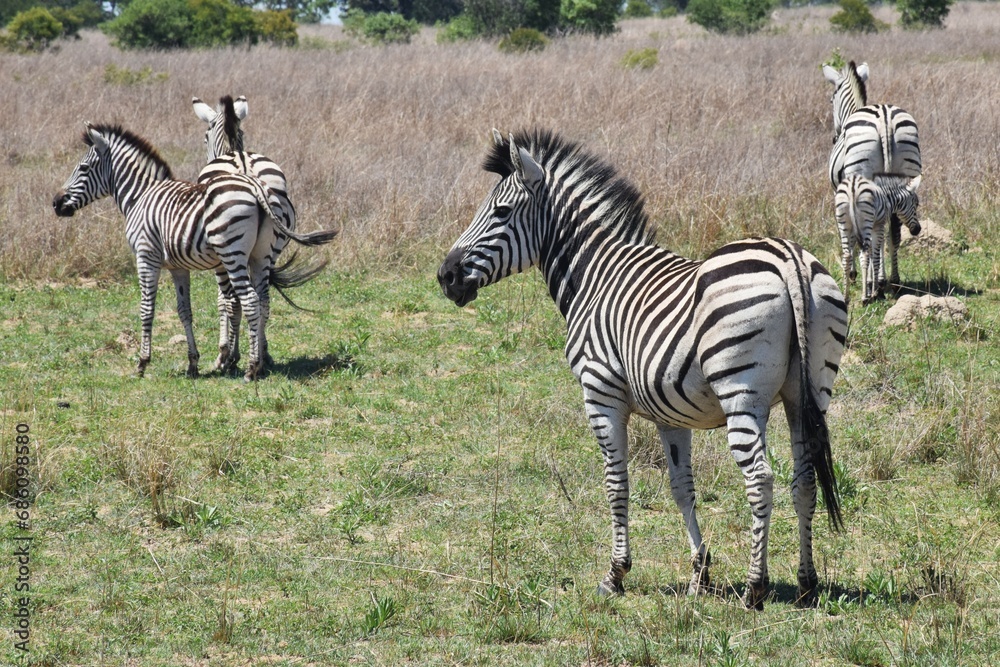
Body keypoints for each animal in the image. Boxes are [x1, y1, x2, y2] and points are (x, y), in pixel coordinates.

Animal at [52, 122, 336, 380]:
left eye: (83, 168)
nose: (56, 203)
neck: (140, 196)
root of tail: (253, 183)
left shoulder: (146, 257)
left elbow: (147, 309)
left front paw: (142, 363)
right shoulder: (178, 267)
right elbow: (184, 310)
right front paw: (192, 363)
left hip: (232, 254)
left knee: (248, 300)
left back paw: (251, 369)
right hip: (261, 255)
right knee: (263, 300)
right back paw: (259, 361)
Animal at [438, 129, 847, 609]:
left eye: (500, 212)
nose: (445, 276)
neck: (593, 275)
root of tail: (789, 259)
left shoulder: (600, 393)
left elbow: (616, 484)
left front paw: (615, 574)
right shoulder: (672, 413)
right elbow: (682, 487)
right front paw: (699, 574)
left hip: (741, 393)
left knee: (760, 480)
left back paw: (754, 588)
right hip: (808, 394)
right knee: (805, 481)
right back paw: (807, 584)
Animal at [835, 174, 922, 303]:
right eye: (916, 204)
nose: (918, 230)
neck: (887, 198)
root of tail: (853, 186)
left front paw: (871, 285)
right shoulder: (878, 225)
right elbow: (875, 257)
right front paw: (875, 291)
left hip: (844, 225)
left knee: (846, 257)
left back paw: (845, 297)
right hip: (866, 222)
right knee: (865, 254)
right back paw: (865, 298)